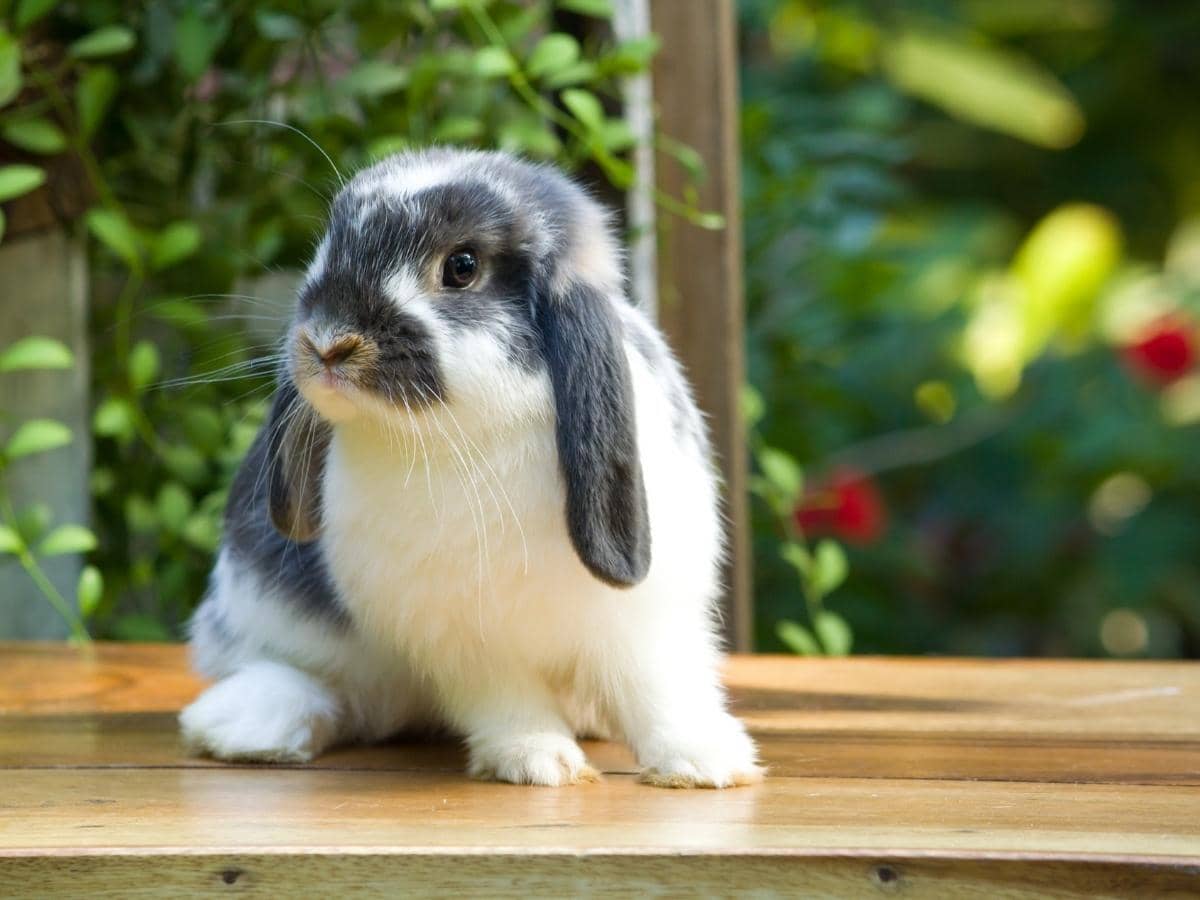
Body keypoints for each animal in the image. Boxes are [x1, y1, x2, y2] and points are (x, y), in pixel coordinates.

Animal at [180, 148, 762, 788]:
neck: (463, 434)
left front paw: (706, 763)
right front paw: (539, 761)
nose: (327, 342)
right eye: (330, 244)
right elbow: (506, 700)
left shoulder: (646, 619)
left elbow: (659, 688)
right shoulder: (462, 637)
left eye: (461, 267)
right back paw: (247, 726)